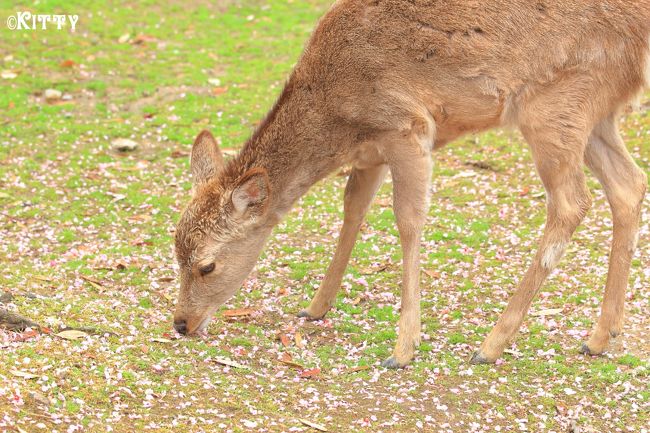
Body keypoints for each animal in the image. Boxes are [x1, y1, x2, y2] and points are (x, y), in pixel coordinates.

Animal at [172, 0, 648, 368]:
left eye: (206, 265)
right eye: (176, 251)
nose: (181, 324)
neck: (337, 120)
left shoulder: (406, 126)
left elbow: (408, 221)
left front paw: (403, 349)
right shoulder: (371, 151)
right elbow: (353, 209)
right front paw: (316, 307)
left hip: (556, 103)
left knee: (571, 202)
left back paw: (491, 345)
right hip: (596, 112)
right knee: (628, 183)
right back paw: (599, 337)